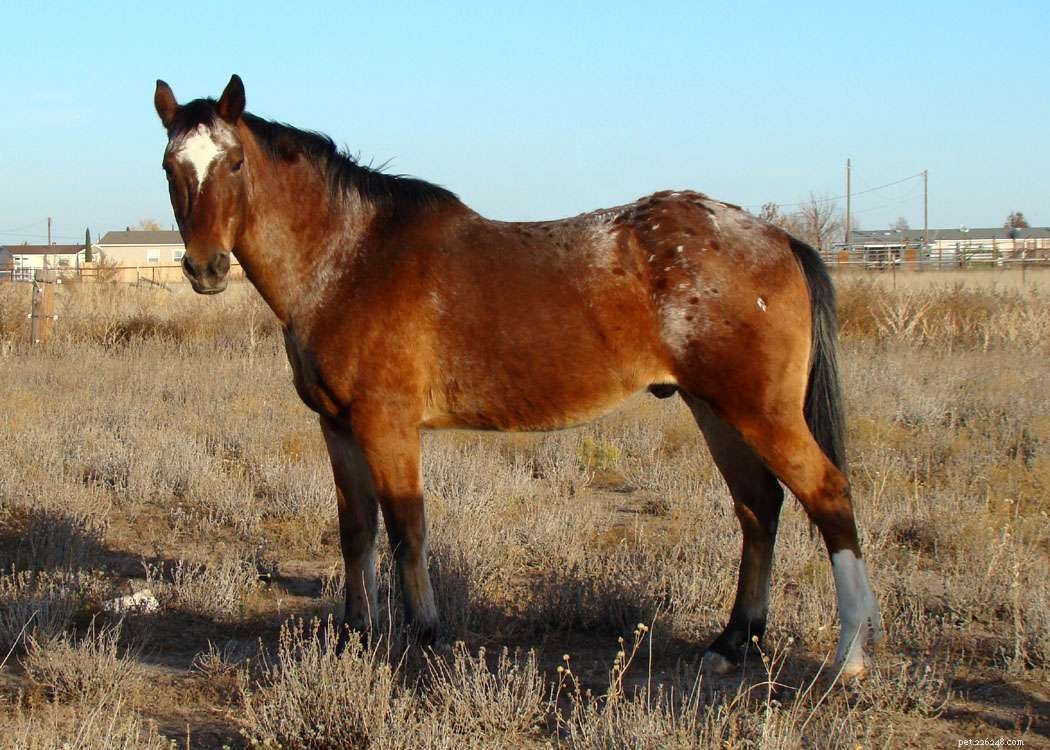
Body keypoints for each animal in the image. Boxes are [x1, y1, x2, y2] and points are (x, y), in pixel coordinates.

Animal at [154, 74, 883, 679]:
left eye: (234, 162)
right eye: (169, 165)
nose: (205, 268)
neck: (352, 256)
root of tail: (781, 240)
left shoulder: (387, 425)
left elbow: (407, 529)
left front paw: (423, 642)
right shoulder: (337, 426)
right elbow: (356, 531)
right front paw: (354, 639)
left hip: (759, 412)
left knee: (828, 496)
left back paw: (848, 659)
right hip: (714, 409)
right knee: (759, 509)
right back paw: (732, 645)